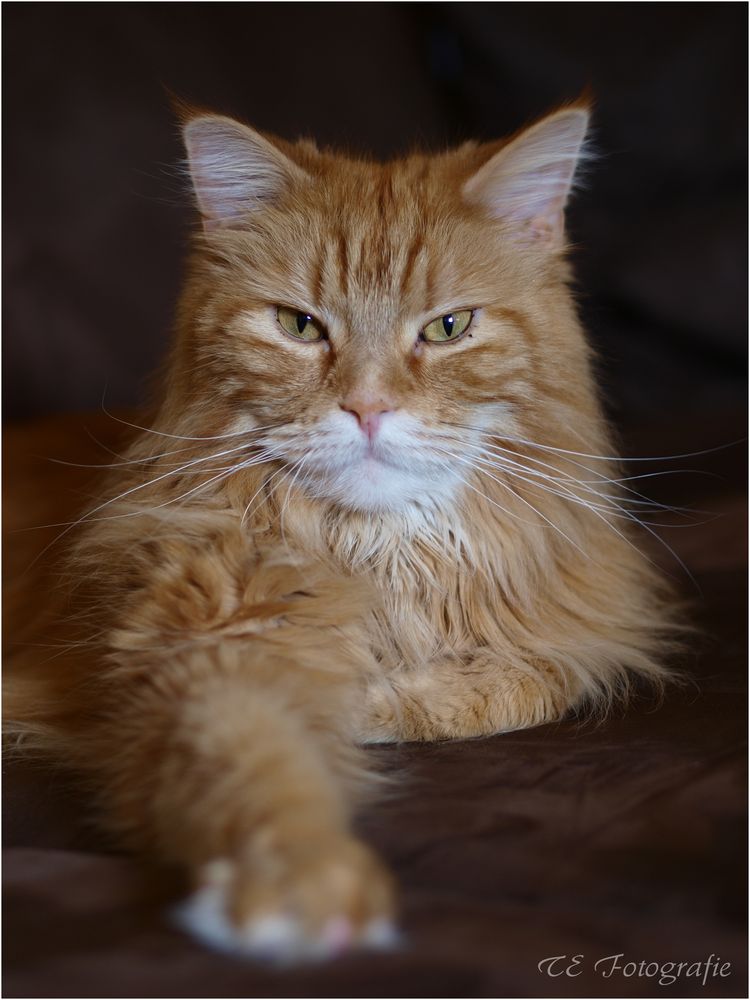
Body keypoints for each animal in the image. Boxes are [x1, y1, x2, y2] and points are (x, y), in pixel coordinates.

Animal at [5, 101, 680, 960]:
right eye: (299, 326)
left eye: (448, 328)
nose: (367, 407)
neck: (379, 559)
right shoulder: (200, 650)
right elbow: (260, 766)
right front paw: (304, 876)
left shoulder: (574, 631)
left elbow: (530, 684)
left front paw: (380, 702)